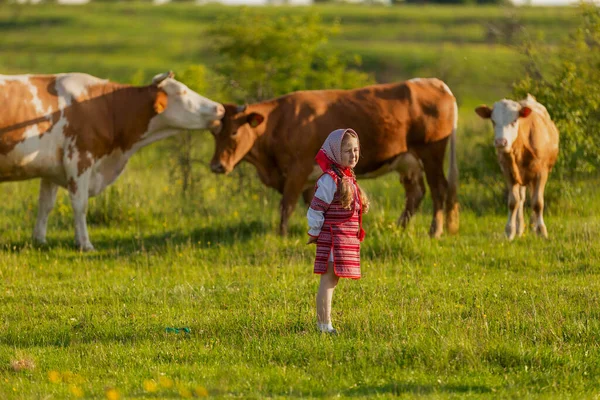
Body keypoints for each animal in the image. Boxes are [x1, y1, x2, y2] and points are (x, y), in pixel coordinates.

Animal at [0, 70, 225, 248]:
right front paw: (85, 244)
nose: (220, 108)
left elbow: (46, 204)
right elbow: (80, 204)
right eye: (182, 92)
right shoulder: (79, 158)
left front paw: (40, 240)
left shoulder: (51, 166)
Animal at [210, 78, 460, 238]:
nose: (216, 166)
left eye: (234, 132)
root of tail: (434, 83)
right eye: (215, 132)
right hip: (407, 161)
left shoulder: (298, 170)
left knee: (438, 188)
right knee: (415, 193)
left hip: (431, 152)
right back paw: (399, 227)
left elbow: (286, 205)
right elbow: (312, 204)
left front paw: (281, 234)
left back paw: (435, 231)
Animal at [476, 94, 560, 239]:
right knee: (521, 199)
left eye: (514, 120)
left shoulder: (541, 173)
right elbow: (513, 202)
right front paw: (510, 231)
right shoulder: (509, 172)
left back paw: (533, 226)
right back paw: (520, 228)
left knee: (532, 197)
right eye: (493, 121)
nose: (500, 142)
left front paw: (542, 231)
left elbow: (538, 202)